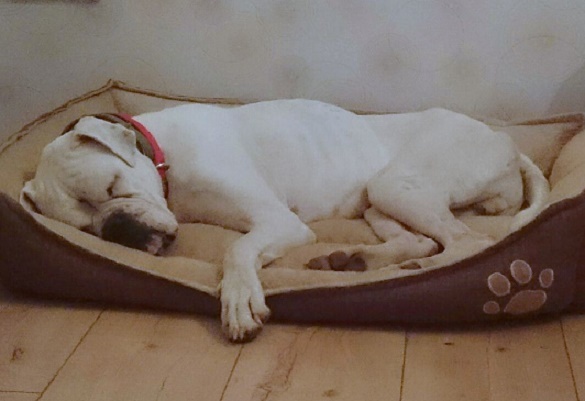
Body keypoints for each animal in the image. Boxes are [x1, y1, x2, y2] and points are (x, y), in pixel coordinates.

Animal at [20, 100, 549, 341]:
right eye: (87, 230)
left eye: (114, 187)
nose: (120, 230)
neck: (164, 156)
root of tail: (508, 143)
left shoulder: (276, 222)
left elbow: (237, 250)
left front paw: (238, 302)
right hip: (380, 201)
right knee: (425, 241)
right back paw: (359, 261)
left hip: (397, 185)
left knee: (465, 243)